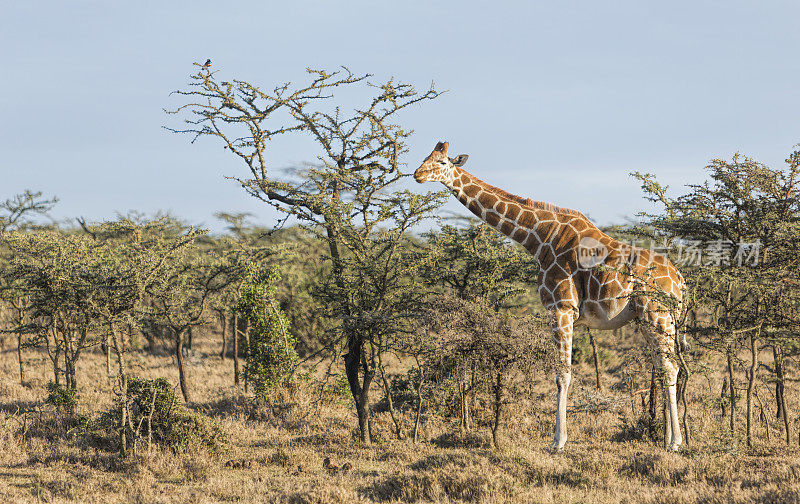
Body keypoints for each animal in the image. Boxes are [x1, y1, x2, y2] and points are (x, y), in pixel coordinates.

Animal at [416, 140, 684, 450]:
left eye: (442, 162)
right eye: (425, 157)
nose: (417, 175)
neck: (539, 235)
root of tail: (680, 280)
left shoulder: (561, 307)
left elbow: (562, 374)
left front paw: (558, 441)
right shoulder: (565, 311)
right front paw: (559, 438)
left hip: (657, 314)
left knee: (670, 367)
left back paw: (675, 442)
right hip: (648, 318)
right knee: (663, 366)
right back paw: (667, 437)